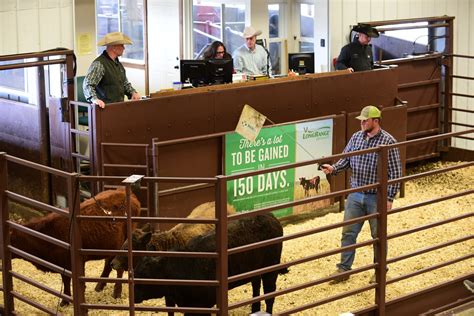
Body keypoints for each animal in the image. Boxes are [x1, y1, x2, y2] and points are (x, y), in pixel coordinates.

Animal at [9, 188, 141, 306]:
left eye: (11, 240)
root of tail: (124, 191)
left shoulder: (70, 262)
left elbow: (68, 280)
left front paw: (65, 301)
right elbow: (66, 280)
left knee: (118, 268)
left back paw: (116, 292)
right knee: (108, 263)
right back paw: (99, 286)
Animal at [134, 214, 288, 314]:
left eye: (145, 274)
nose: (134, 296)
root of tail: (270, 217)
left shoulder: (203, 304)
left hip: (271, 269)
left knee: (269, 294)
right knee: (256, 287)